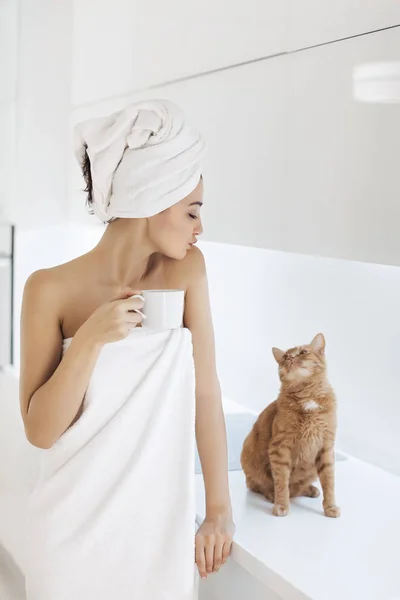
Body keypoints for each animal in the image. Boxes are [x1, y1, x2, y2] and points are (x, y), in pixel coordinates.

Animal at [241, 336, 340, 516]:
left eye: (303, 352)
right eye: (285, 357)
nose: (291, 358)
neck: (307, 397)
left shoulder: (326, 447)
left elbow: (329, 482)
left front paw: (330, 507)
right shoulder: (280, 447)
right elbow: (281, 482)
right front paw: (281, 504)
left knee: (296, 488)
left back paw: (310, 489)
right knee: (259, 485)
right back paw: (271, 494)